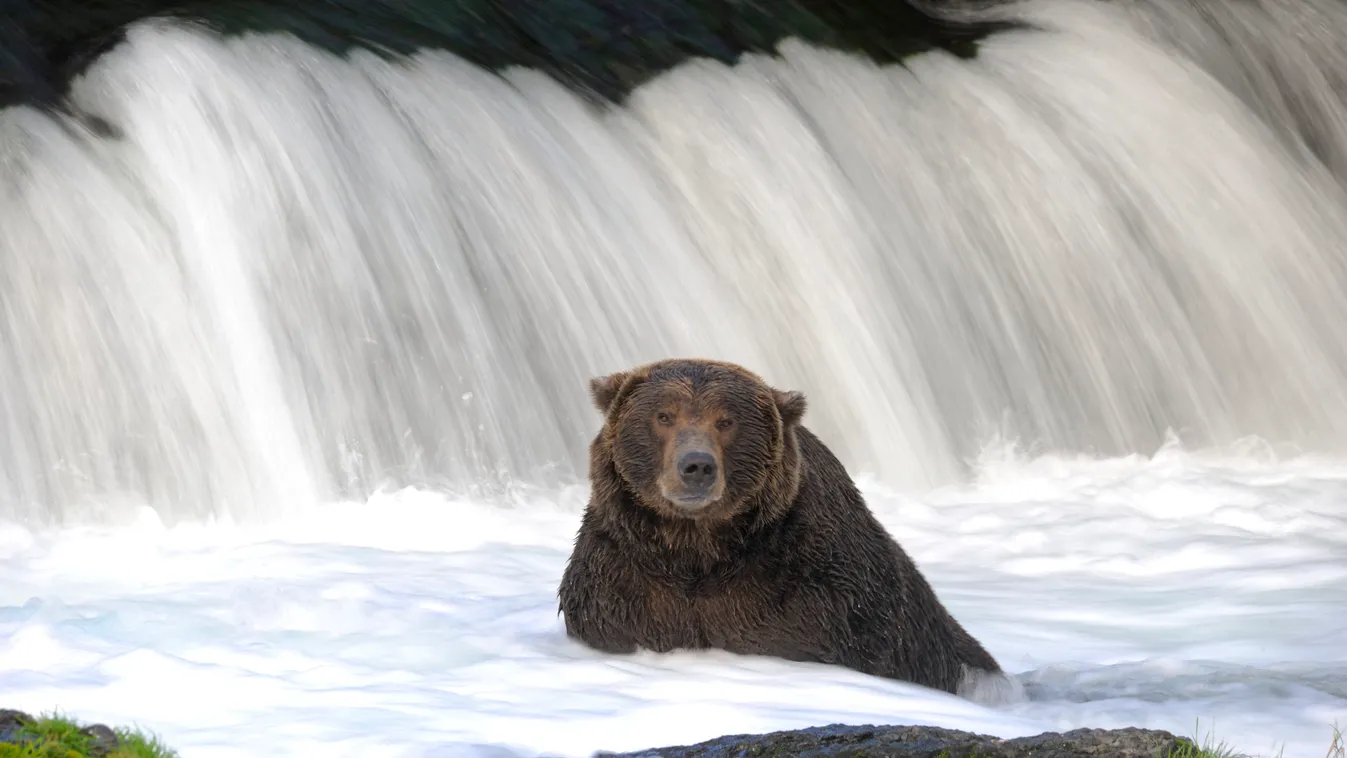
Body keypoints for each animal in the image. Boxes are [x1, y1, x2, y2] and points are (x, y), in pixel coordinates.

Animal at [552, 358, 1007, 694]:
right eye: (664, 416)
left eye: (726, 421)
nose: (696, 466)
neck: (698, 547)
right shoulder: (621, 587)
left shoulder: (820, 599)